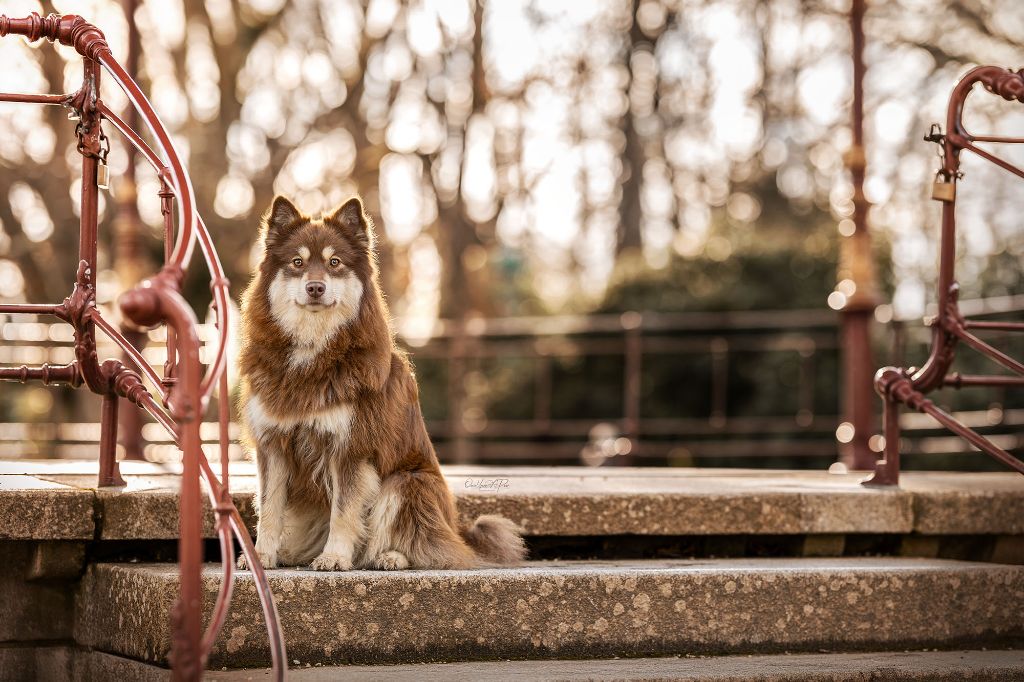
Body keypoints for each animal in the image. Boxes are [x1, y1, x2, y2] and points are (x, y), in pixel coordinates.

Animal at [237, 195, 528, 569]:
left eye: (334, 262)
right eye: (297, 262)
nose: (315, 287)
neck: (313, 350)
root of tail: (455, 528)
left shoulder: (351, 449)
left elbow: (344, 511)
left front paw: (334, 557)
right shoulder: (272, 445)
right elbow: (270, 509)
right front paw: (261, 555)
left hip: (407, 482)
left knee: (424, 546)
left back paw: (390, 557)